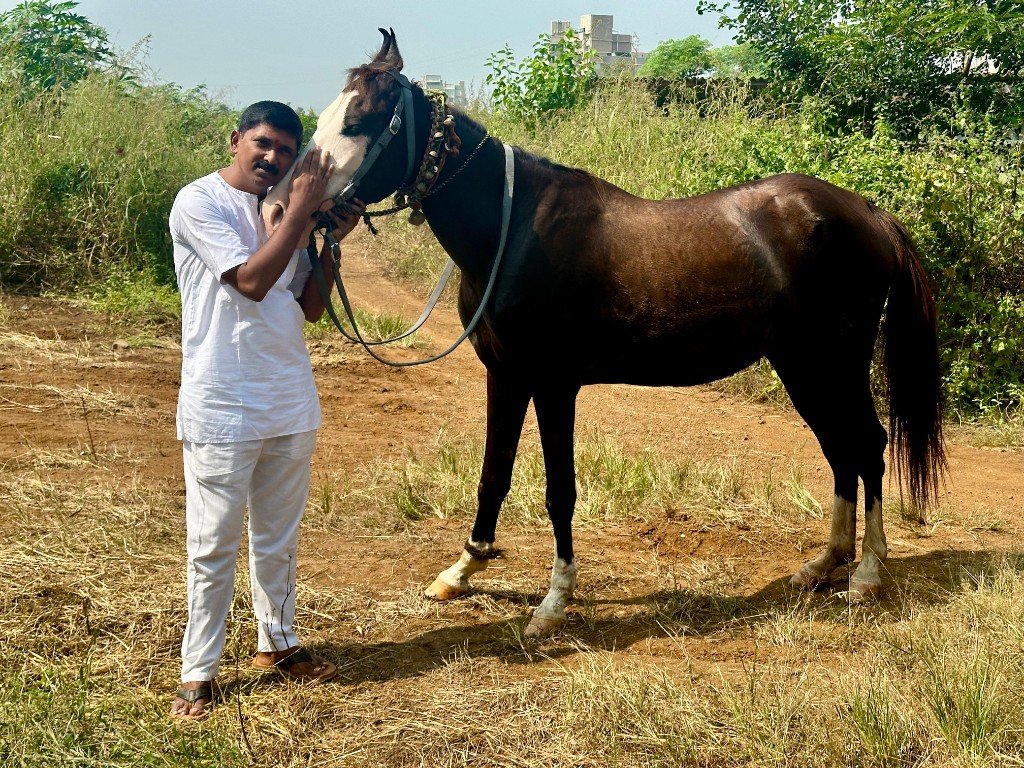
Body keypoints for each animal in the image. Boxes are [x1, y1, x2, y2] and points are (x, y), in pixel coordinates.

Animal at [263, 29, 946, 637]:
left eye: (361, 120)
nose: (280, 207)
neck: (512, 230)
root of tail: (868, 213)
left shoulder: (554, 385)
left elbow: (559, 491)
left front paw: (554, 601)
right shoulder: (505, 376)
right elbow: (494, 473)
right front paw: (462, 570)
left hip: (835, 362)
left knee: (867, 444)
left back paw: (867, 573)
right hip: (802, 365)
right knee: (841, 449)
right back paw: (825, 564)